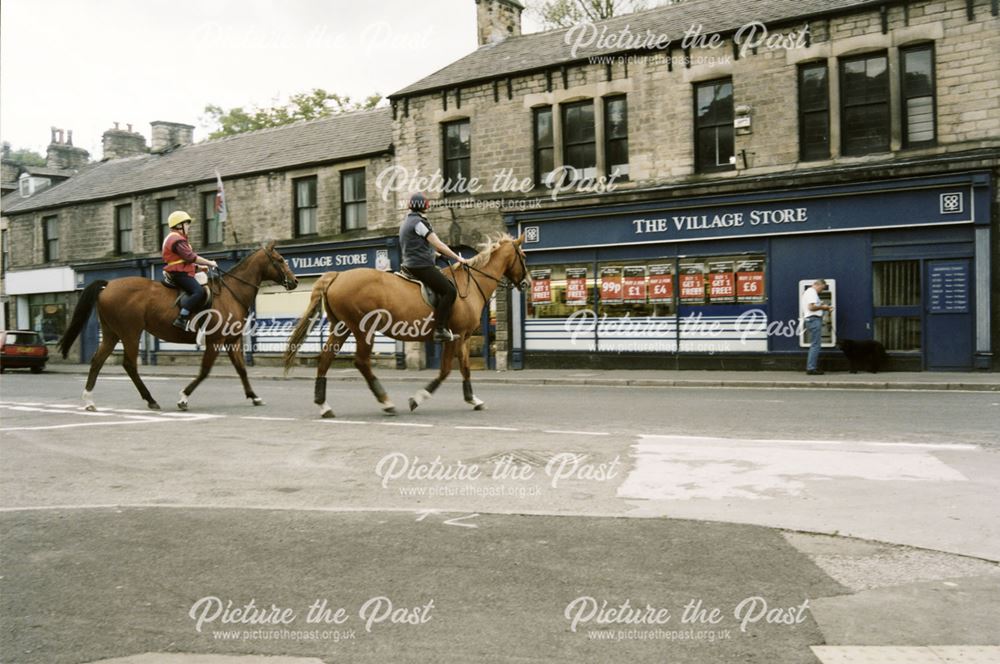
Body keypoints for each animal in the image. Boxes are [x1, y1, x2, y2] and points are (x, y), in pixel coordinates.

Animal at [58, 241, 296, 412]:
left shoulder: (232, 341)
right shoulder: (215, 340)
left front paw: (254, 397)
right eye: (280, 259)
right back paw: (150, 399)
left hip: (111, 333)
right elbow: (204, 371)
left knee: (97, 361)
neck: (231, 292)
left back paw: (89, 400)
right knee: (129, 365)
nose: (293, 282)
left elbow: (242, 369)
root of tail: (108, 285)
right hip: (130, 333)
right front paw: (183, 398)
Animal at [284, 236, 528, 418]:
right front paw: (418, 399)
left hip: (341, 328)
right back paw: (385, 402)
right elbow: (445, 370)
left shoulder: (464, 338)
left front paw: (473, 399)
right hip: (364, 330)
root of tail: (337, 276)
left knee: (325, 359)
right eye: (523, 256)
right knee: (361, 362)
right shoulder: (455, 336)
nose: (527, 283)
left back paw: (323, 405)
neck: (469, 286)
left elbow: (465, 369)